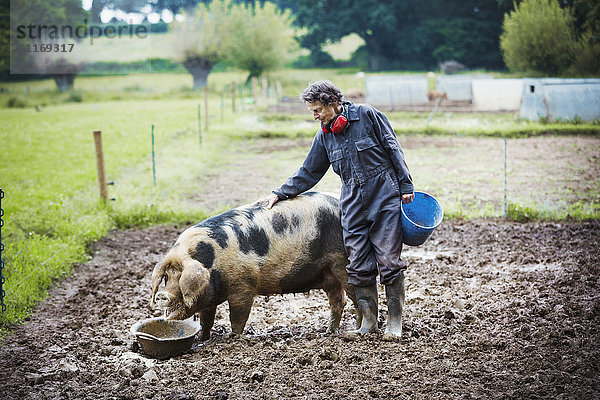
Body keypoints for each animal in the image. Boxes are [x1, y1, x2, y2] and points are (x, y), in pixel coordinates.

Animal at [151, 192, 356, 340]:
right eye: (167, 277)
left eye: (181, 278)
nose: (162, 295)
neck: (211, 262)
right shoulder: (209, 296)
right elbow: (206, 319)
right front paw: (201, 339)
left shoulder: (244, 286)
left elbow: (237, 316)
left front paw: (232, 338)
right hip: (327, 274)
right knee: (338, 300)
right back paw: (329, 332)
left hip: (341, 261)